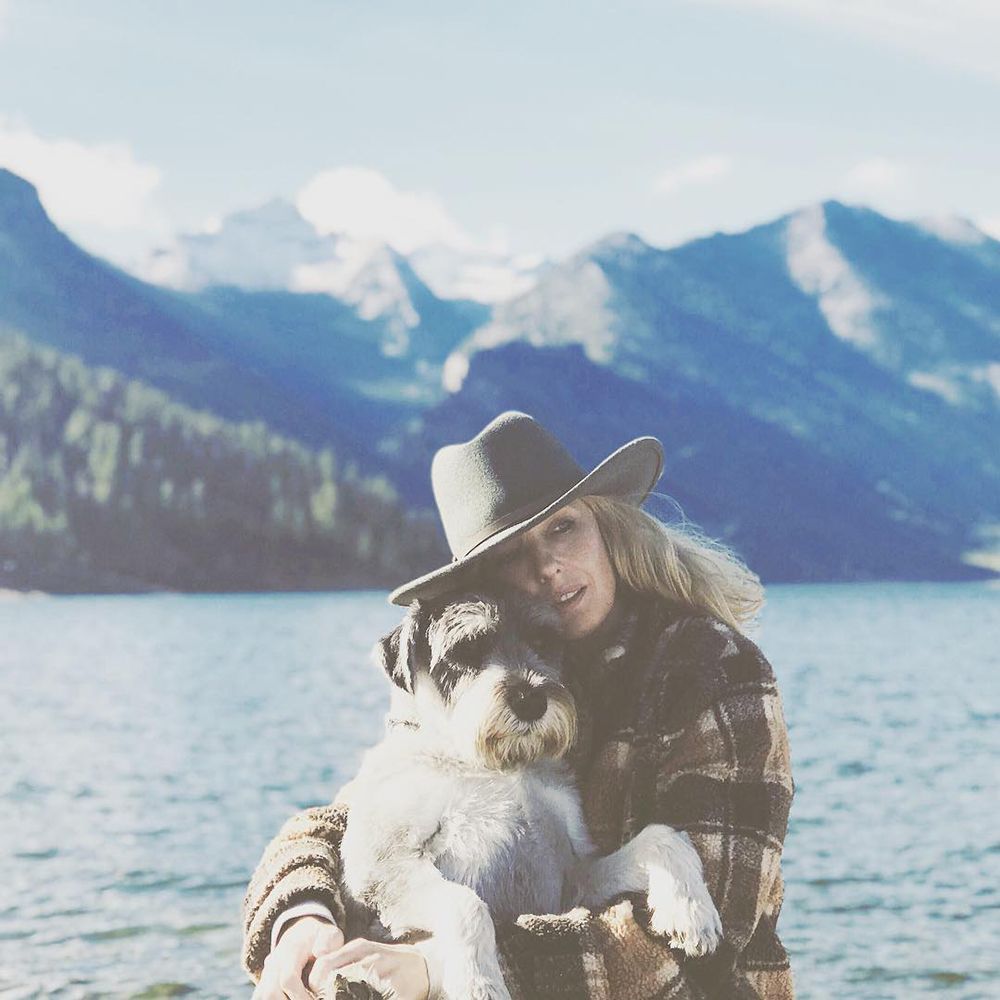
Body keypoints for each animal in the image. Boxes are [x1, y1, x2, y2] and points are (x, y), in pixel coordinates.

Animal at [336, 588, 720, 1000]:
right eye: (466, 650)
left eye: (542, 640)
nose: (531, 701)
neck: (492, 764)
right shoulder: (384, 868)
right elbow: (465, 903)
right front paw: (479, 983)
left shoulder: (572, 879)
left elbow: (660, 839)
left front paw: (691, 910)